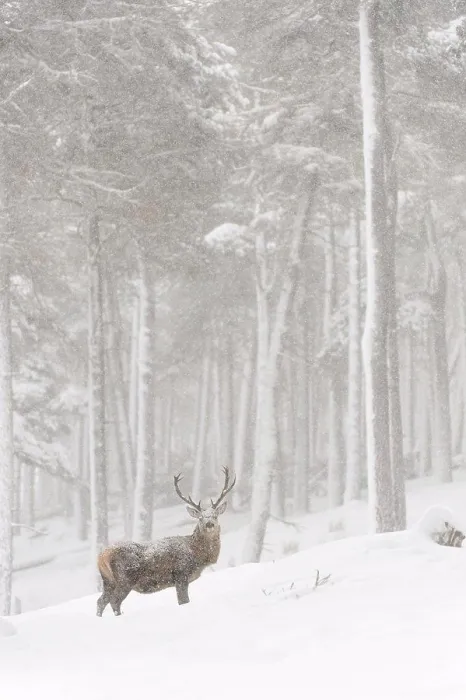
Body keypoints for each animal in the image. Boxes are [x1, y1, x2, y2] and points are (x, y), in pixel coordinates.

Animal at [96, 466, 236, 616]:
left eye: (215, 516)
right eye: (200, 518)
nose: (209, 524)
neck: (196, 554)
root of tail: (101, 556)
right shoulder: (181, 574)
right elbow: (183, 601)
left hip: (108, 581)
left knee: (101, 601)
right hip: (125, 578)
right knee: (114, 601)